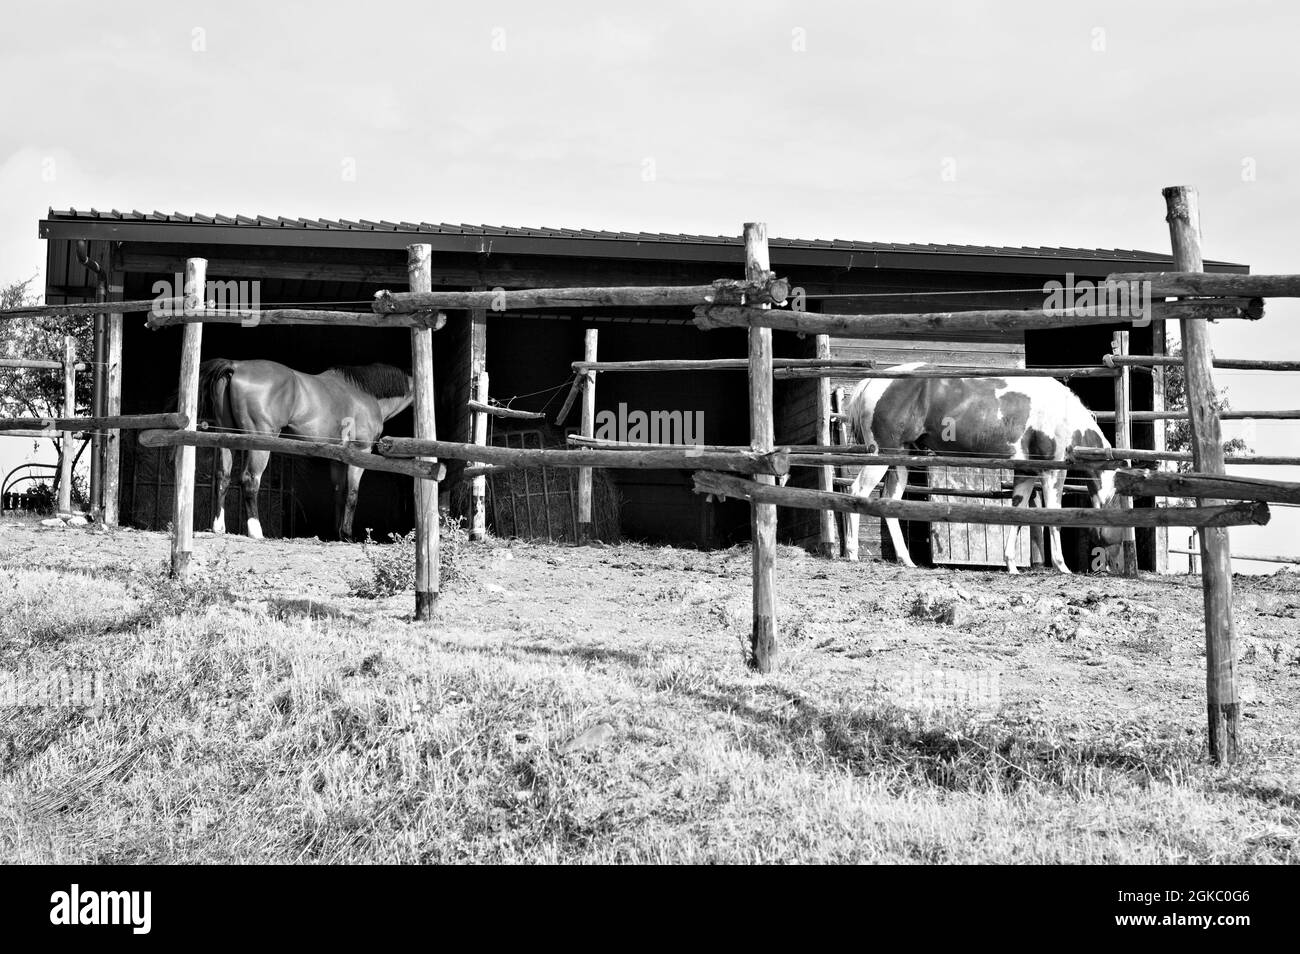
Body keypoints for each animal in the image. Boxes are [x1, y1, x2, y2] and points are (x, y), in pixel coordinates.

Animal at [198, 358, 410, 538]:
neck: (366, 395)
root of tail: (235, 366)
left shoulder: (338, 458)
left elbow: (339, 493)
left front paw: (338, 533)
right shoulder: (361, 451)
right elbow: (352, 494)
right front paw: (347, 534)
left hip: (227, 439)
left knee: (223, 477)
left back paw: (219, 527)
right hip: (260, 443)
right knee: (250, 480)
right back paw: (256, 531)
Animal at [847, 363, 1123, 574]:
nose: (1110, 565)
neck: (1063, 414)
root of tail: (871, 383)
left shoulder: (1025, 472)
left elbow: (1017, 514)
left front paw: (1011, 565)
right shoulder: (1052, 472)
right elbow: (1054, 517)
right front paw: (1062, 566)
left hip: (900, 459)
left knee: (889, 502)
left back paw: (907, 560)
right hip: (881, 456)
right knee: (857, 493)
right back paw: (851, 553)